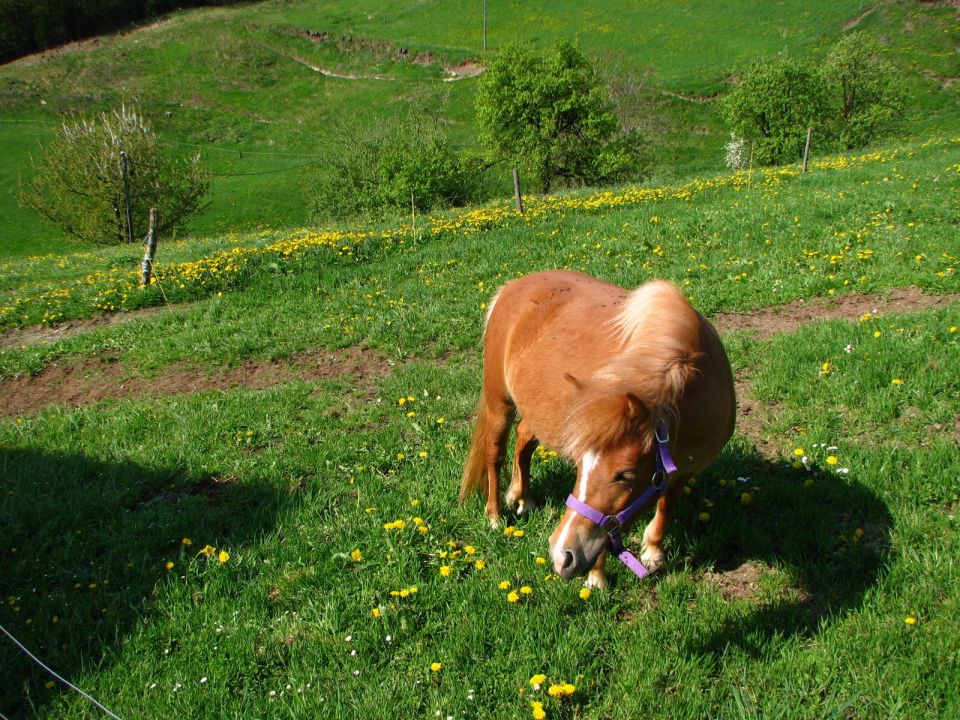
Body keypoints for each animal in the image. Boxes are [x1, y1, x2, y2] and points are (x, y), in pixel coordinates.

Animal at [458, 270, 736, 592]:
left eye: (625, 475)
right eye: (580, 466)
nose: (561, 554)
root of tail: (511, 287)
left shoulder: (686, 469)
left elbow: (666, 504)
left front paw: (653, 551)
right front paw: (597, 578)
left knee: (524, 440)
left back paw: (523, 498)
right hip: (499, 403)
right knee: (494, 454)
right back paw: (494, 515)